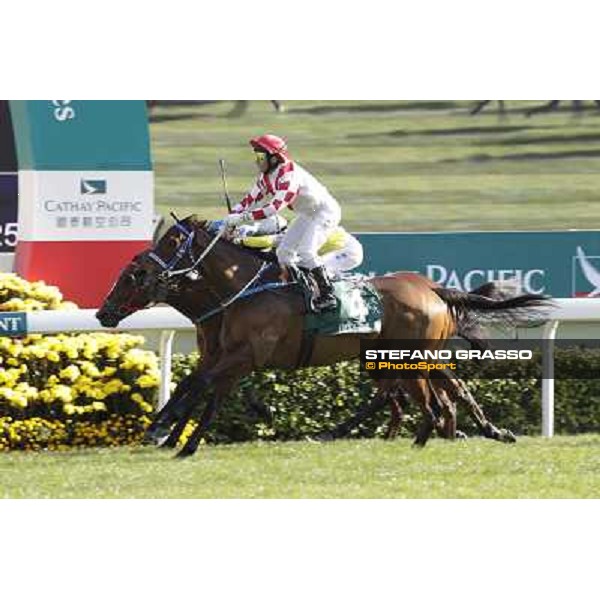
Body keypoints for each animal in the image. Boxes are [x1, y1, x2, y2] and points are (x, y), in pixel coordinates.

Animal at [96, 218, 548, 458]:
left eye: (134, 274)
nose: (103, 313)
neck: (240, 290)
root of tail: (433, 290)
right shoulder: (224, 354)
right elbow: (199, 386)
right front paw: (176, 437)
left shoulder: (243, 356)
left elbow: (199, 385)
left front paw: (162, 431)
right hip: (388, 356)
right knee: (423, 392)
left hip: (406, 354)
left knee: (428, 391)